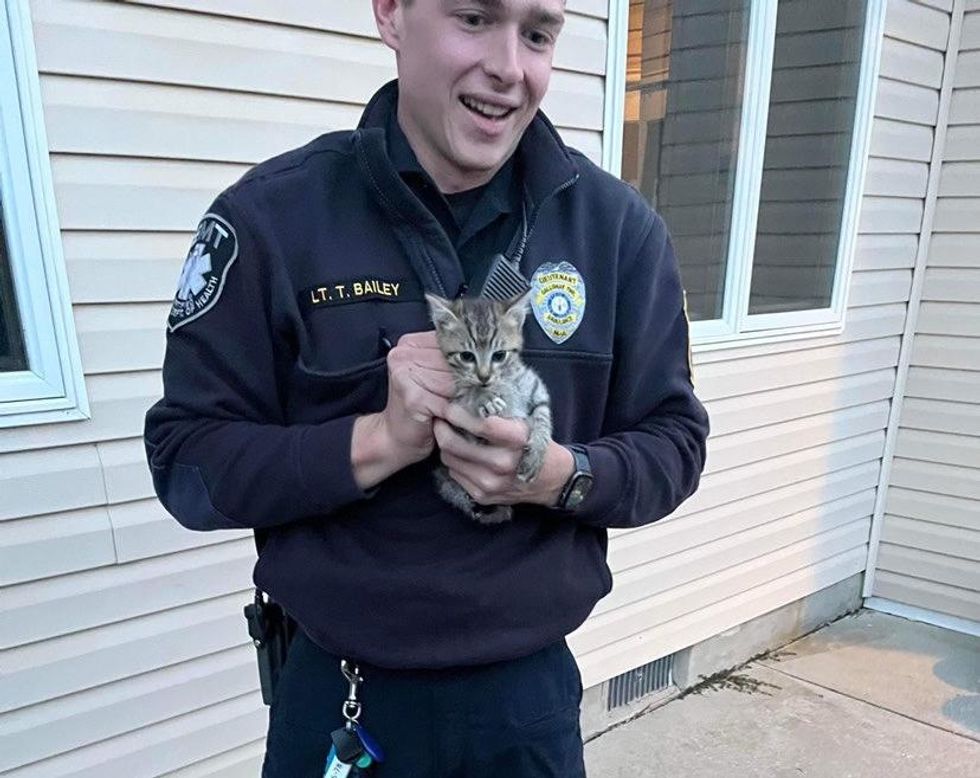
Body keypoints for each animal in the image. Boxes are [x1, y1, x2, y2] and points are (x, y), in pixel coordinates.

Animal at [426, 294, 556, 524]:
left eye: (499, 355)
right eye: (466, 356)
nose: (484, 377)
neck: (504, 380)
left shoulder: (536, 389)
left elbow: (542, 415)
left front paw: (537, 454)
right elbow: (467, 393)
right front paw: (483, 396)